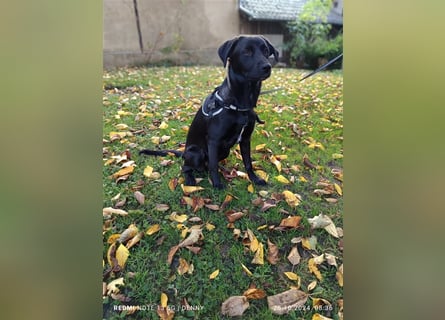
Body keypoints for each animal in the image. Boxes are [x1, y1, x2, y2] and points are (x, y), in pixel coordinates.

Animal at [140, 36, 278, 189]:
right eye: (247, 51)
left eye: (266, 51)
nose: (267, 67)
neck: (239, 103)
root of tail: (184, 153)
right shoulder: (214, 140)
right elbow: (213, 166)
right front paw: (217, 185)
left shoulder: (246, 139)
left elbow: (248, 163)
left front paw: (255, 179)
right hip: (196, 153)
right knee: (187, 167)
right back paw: (190, 179)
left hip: (225, 151)